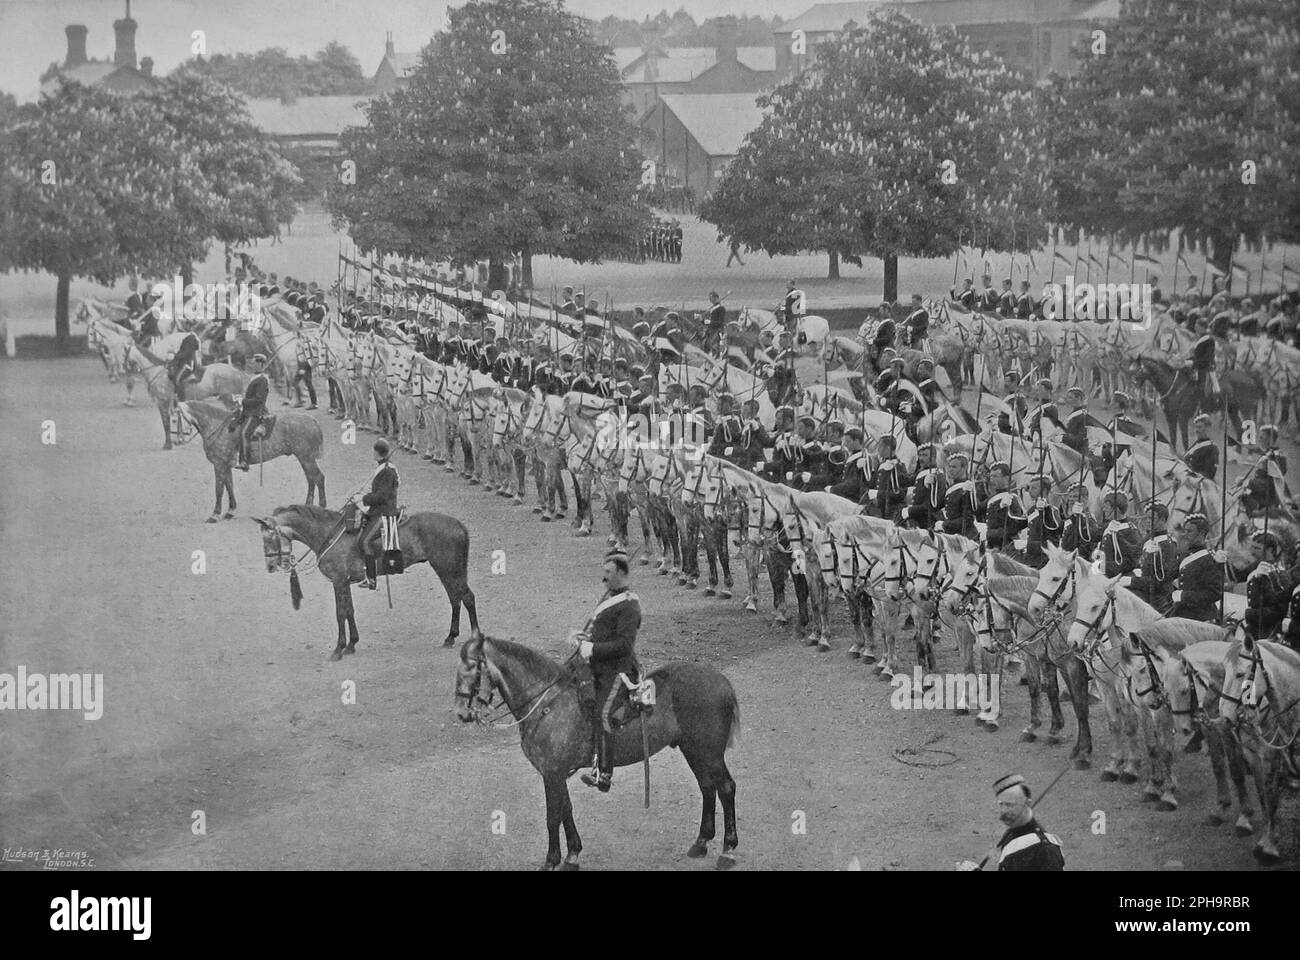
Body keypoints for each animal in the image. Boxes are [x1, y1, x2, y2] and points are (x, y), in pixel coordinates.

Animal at [250, 504, 480, 655]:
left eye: (268, 538)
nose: (270, 567)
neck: (329, 535)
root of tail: (458, 524)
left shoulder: (338, 581)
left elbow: (340, 613)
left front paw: (339, 648)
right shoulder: (344, 582)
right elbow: (349, 611)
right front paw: (352, 644)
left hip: (448, 568)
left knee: (466, 597)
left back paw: (474, 637)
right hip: (448, 570)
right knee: (455, 599)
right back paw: (451, 637)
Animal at [457, 634, 743, 868]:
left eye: (472, 667)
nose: (461, 712)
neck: (546, 703)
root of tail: (722, 682)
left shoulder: (551, 773)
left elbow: (552, 817)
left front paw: (551, 860)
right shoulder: (557, 773)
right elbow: (566, 809)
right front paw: (573, 855)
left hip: (709, 753)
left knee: (726, 788)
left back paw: (727, 850)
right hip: (694, 750)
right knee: (707, 787)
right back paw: (701, 842)